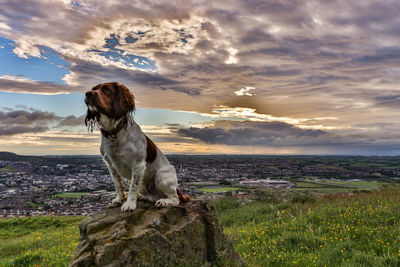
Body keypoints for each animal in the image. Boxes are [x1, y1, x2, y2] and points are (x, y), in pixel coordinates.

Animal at [83, 82, 189, 213]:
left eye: (107, 90)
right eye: (93, 89)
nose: (88, 94)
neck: (114, 133)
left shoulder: (138, 165)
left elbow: (133, 186)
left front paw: (129, 204)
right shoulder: (111, 166)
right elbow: (118, 184)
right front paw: (120, 199)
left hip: (162, 177)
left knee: (175, 198)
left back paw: (163, 201)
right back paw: (143, 197)